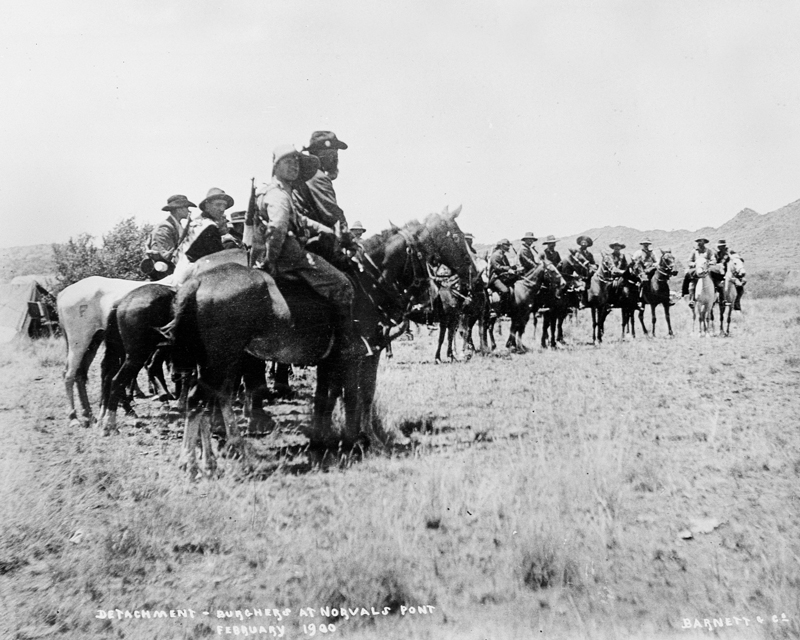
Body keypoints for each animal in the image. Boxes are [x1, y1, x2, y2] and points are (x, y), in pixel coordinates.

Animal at [166, 208, 472, 478]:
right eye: (456, 236)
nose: (471, 273)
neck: (369, 283)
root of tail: (196, 280)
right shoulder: (362, 355)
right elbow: (359, 395)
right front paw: (365, 440)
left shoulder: (336, 359)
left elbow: (331, 396)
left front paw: (331, 440)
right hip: (221, 360)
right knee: (201, 401)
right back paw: (197, 463)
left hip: (219, 361)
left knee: (209, 400)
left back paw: (211, 458)